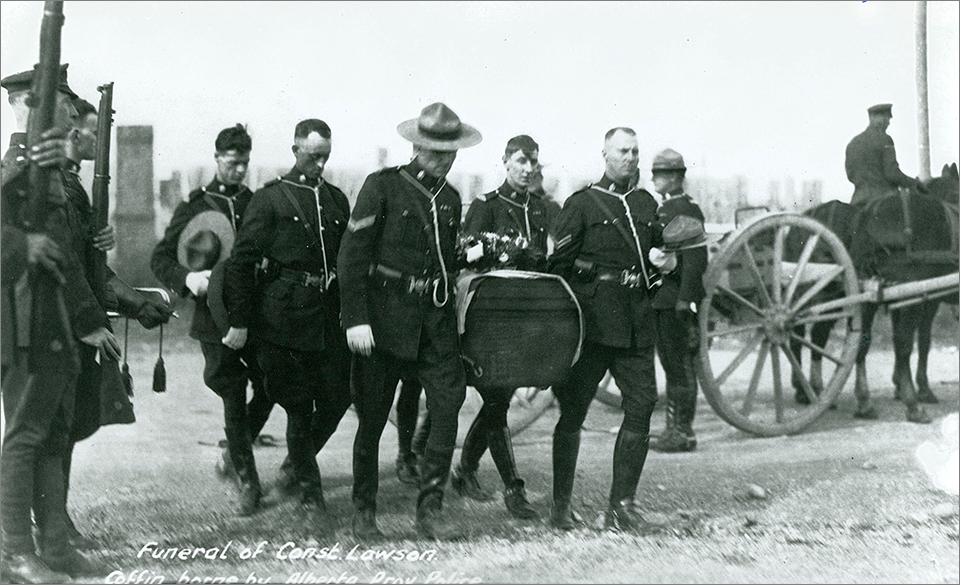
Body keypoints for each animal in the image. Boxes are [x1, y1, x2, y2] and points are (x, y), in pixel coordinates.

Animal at [788, 162, 960, 422]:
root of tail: (869, 216)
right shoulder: (927, 298)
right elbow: (922, 340)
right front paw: (920, 389)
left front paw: (899, 384)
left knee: (843, 338)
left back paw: (849, 399)